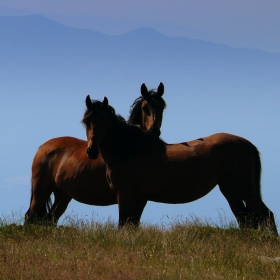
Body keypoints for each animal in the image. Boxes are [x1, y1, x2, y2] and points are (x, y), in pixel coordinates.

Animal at [24, 82, 166, 224]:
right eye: (145, 108)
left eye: (162, 107)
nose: (154, 132)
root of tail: (42, 147)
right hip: (41, 192)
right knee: (30, 216)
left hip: (62, 195)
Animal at [82, 96, 278, 234]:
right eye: (86, 122)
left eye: (104, 122)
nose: (91, 151)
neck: (130, 149)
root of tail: (247, 144)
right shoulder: (138, 199)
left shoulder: (125, 196)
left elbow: (123, 225)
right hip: (230, 190)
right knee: (244, 219)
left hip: (243, 188)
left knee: (266, 214)